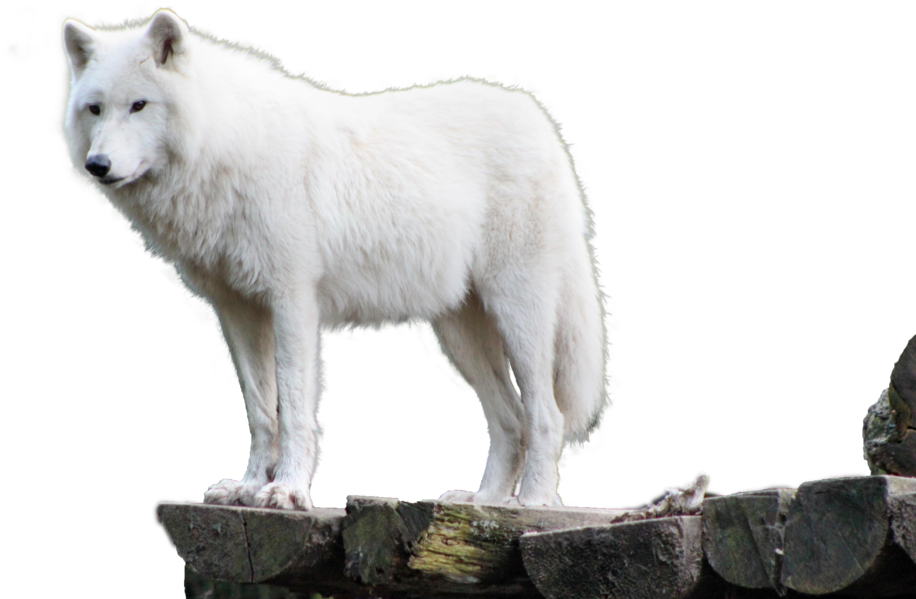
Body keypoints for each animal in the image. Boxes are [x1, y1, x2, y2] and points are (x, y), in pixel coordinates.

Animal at [60, 9, 608, 510]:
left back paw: (533, 503)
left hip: (518, 316)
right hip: (459, 336)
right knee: (511, 420)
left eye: (139, 105)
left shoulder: (292, 302)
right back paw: (483, 502)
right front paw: (248, 488)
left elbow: (294, 406)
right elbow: (261, 411)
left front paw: (287, 491)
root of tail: (535, 116)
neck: (226, 147)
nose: (97, 165)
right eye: (94, 109)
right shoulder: (237, 311)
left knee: (546, 415)